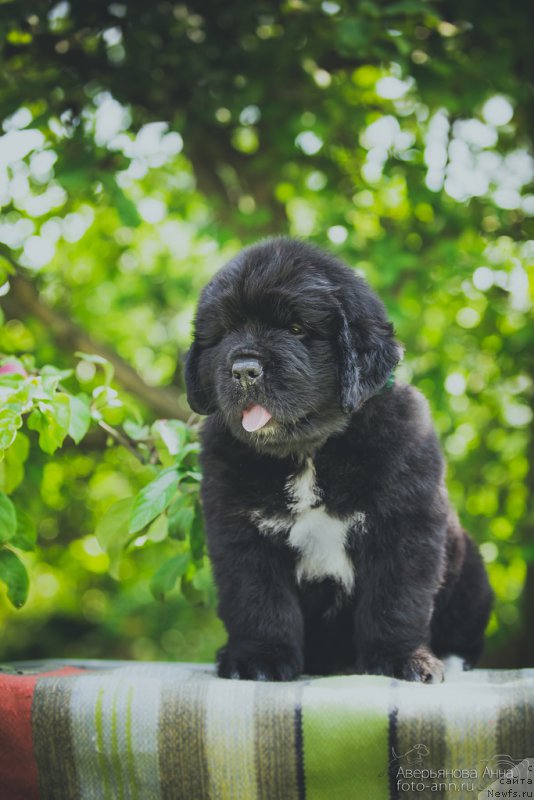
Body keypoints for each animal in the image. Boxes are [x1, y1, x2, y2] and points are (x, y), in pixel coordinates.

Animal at [185, 238, 494, 680]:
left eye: (296, 329)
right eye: (225, 332)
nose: (243, 369)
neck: (309, 453)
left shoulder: (405, 525)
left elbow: (396, 601)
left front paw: (402, 659)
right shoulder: (241, 533)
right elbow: (258, 601)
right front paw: (260, 658)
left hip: (471, 573)